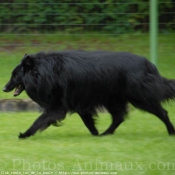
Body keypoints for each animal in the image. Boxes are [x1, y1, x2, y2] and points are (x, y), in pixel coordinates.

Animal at [2, 50, 175, 138]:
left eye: (15, 75)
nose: (3, 88)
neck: (44, 72)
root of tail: (148, 64)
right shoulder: (79, 103)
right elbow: (88, 121)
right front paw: (95, 133)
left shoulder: (58, 106)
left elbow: (39, 120)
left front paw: (25, 134)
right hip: (113, 99)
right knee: (118, 117)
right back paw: (105, 133)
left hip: (139, 97)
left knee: (163, 113)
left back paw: (171, 132)